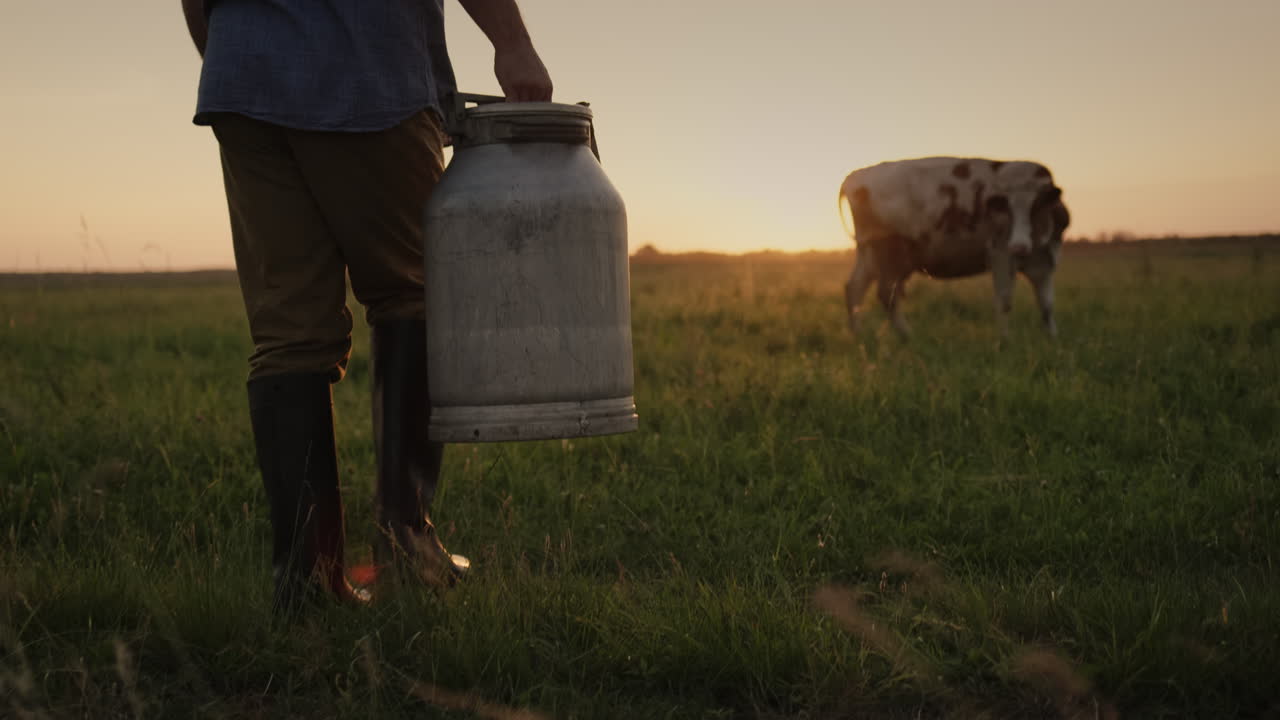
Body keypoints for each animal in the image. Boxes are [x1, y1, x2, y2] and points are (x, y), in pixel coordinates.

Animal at [838, 157, 1070, 338]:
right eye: (1006, 208)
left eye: (1037, 206)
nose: (1019, 246)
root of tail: (857, 175)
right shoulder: (1000, 253)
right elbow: (1005, 301)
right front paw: (1005, 341)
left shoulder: (1045, 260)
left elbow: (1047, 304)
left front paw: (1052, 339)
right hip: (889, 252)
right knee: (886, 293)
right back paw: (906, 336)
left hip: (870, 254)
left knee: (855, 288)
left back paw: (860, 335)